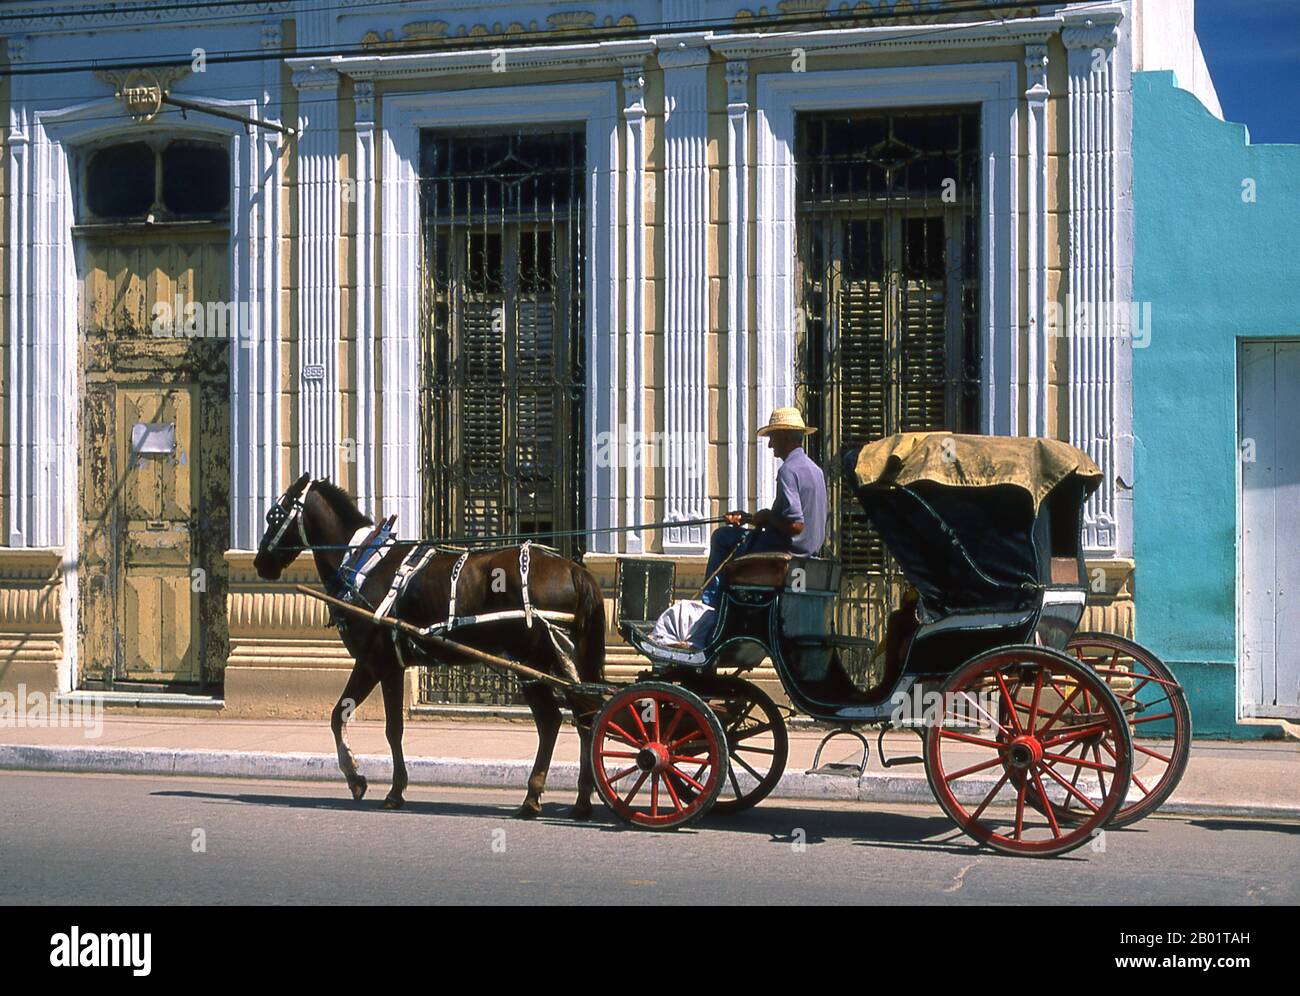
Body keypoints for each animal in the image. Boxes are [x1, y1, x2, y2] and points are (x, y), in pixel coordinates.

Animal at [253, 475, 608, 821]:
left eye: (274, 515)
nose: (260, 562)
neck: (362, 562)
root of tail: (574, 569)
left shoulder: (370, 661)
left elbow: (338, 715)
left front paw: (356, 778)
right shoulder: (392, 666)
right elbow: (393, 729)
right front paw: (396, 791)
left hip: (540, 658)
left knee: (569, 718)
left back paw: (552, 798)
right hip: (547, 663)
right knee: (574, 720)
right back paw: (569, 800)